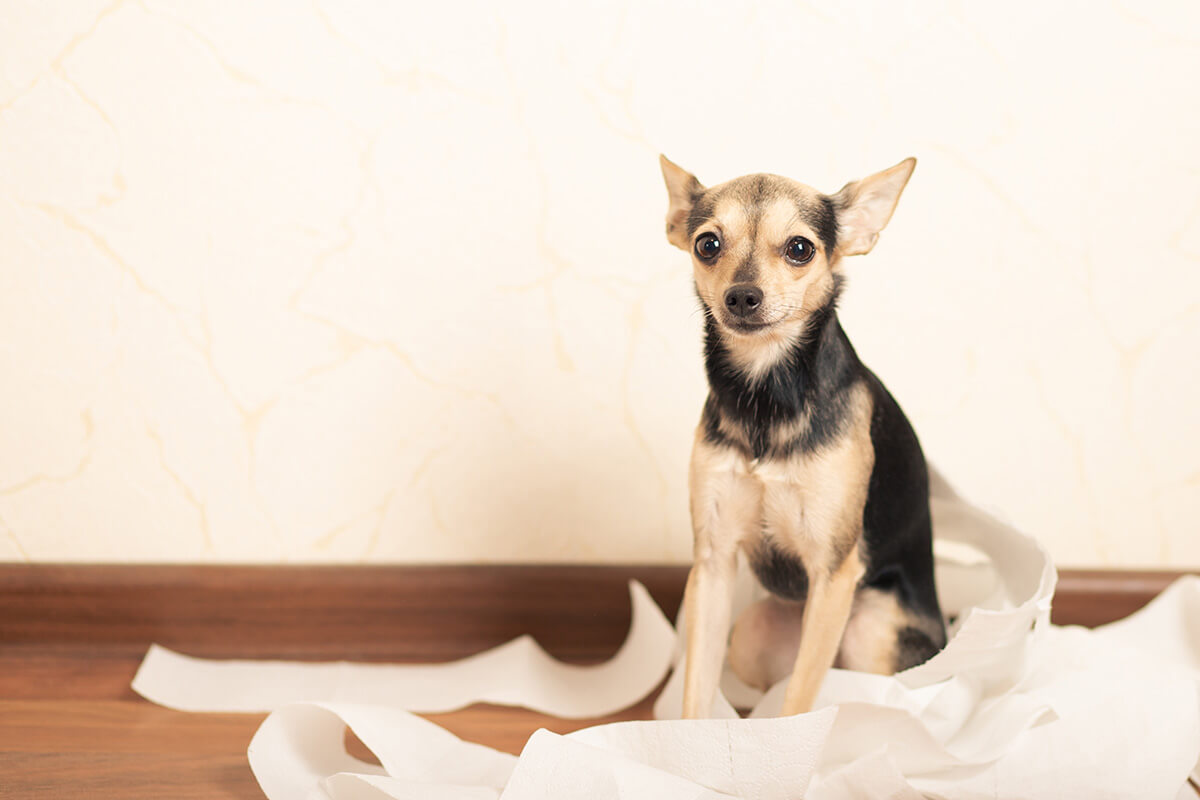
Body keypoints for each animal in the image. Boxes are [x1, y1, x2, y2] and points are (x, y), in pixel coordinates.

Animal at [657, 155, 945, 719]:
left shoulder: (833, 573)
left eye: (799, 248)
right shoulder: (713, 565)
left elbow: (797, 704)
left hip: (868, 628)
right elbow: (696, 691)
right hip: (752, 635)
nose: (742, 295)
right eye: (707, 244)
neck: (766, 395)